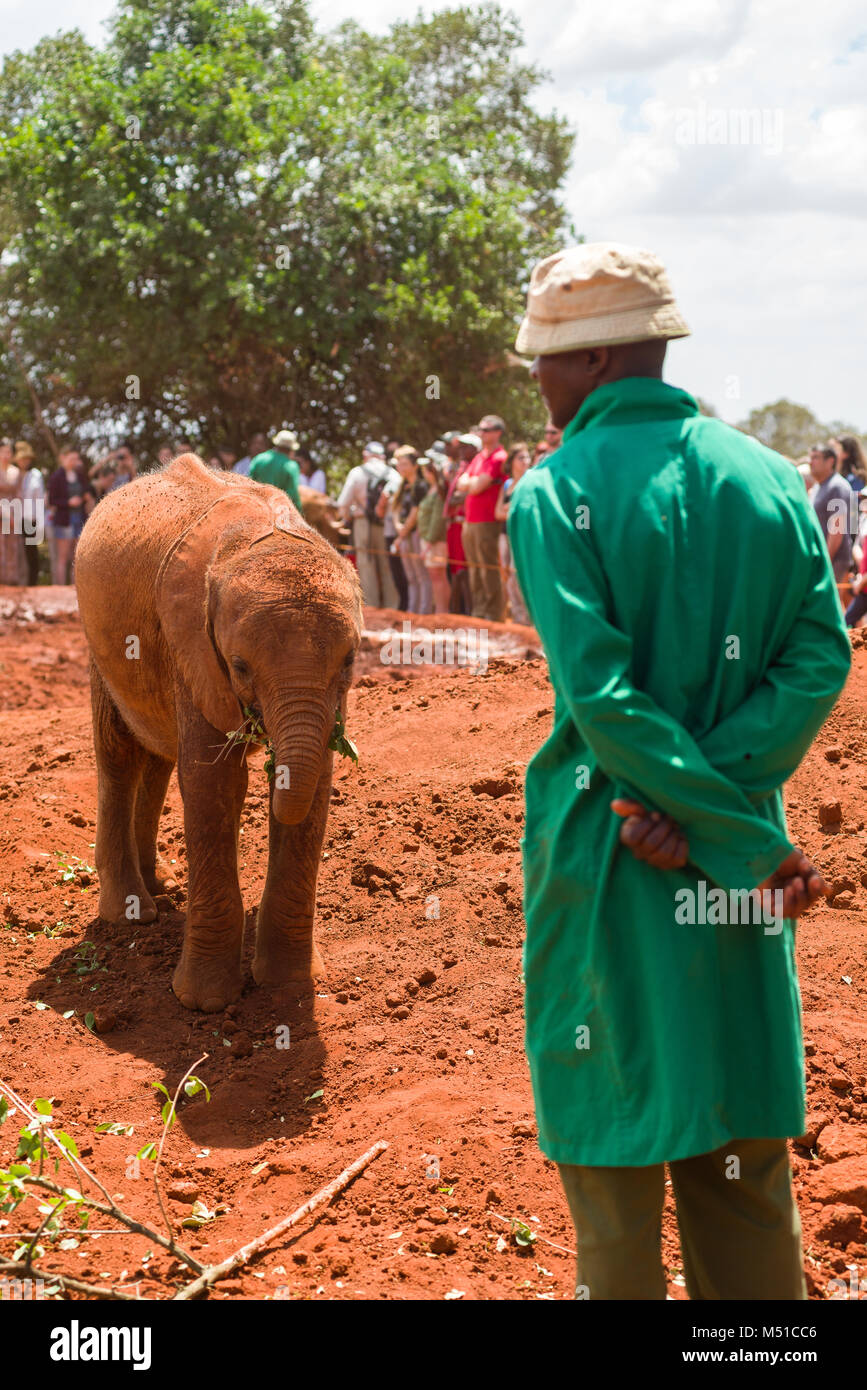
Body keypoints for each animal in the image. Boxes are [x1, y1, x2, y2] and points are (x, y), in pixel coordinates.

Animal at [72, 455, 361, 1011]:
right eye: (240, 665)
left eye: (351, 661)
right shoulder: (190, 643)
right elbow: (212, 783)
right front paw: (204, 1003)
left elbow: (315, 781)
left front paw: (288, 985)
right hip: (103, 649)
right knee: (120, 755)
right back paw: (132, 914)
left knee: (158, 758)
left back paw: (160, 885)